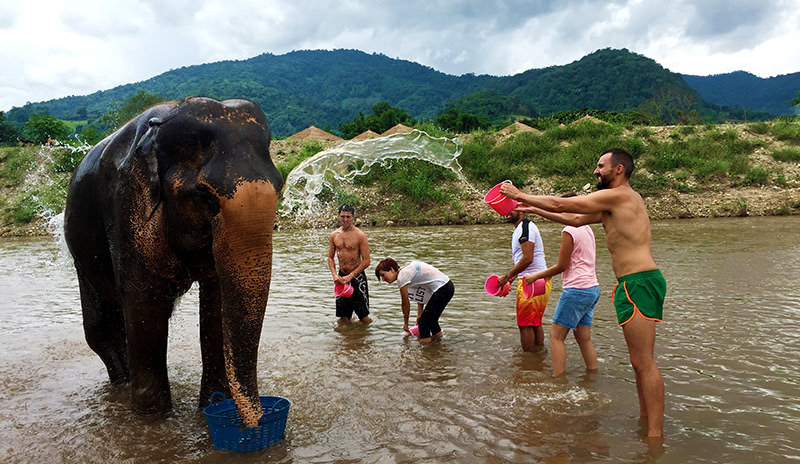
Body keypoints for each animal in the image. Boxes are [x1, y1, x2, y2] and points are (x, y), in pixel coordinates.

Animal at [64, 97, 283, 427]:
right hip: (80, 252)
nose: (258, 423)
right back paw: (123, 383)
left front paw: (212, 406)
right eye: (205, 197)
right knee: (100, 326)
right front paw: (152, 422)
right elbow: (144, 302)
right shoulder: (125, 203)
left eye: (279, 187)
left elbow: (216, 301)